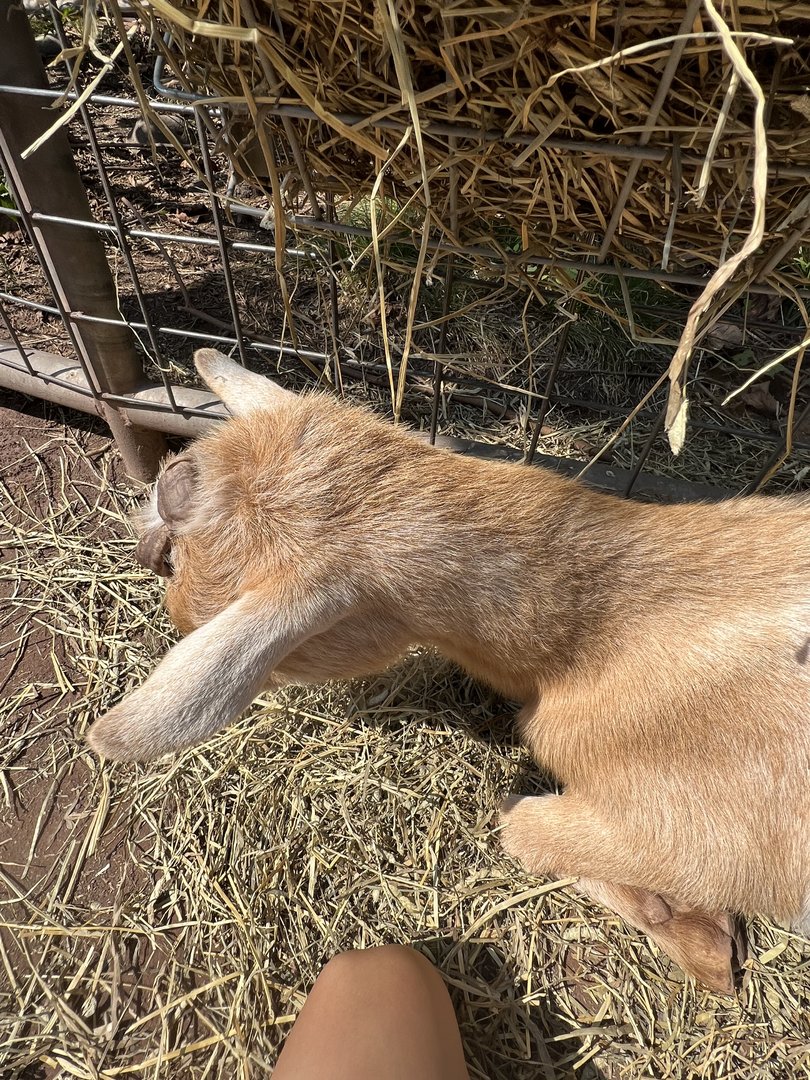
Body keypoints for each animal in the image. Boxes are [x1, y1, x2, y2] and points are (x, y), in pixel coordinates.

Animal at [88, 348, 810, 992]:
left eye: (189, 576)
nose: (151, 553)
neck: (602, 631)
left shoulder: (706, 837)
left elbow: (518, 822)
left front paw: (691, 924)